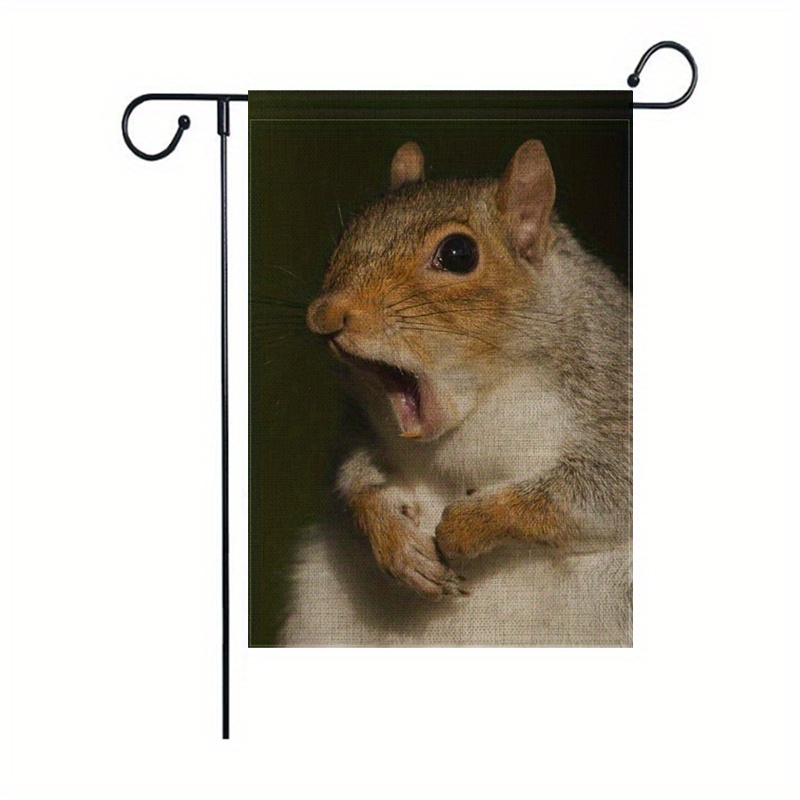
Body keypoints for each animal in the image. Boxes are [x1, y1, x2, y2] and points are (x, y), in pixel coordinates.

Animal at [282, 140, 632, 646]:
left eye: (459, 253)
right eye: (351, 230)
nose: (324, 314)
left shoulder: (615, 393)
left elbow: (599, 491)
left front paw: (467, 527)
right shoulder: (361, 423)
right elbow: (355, 475)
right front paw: (394, 539)